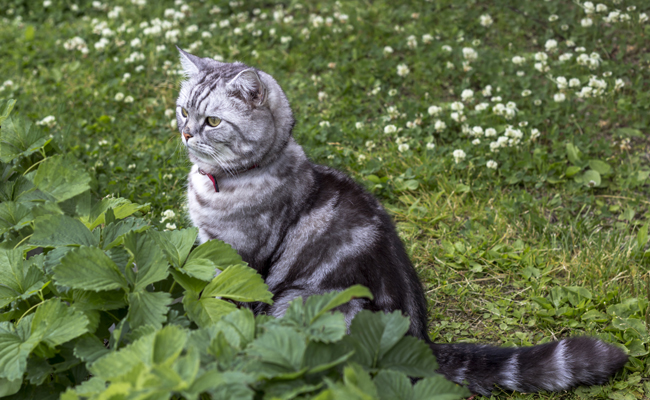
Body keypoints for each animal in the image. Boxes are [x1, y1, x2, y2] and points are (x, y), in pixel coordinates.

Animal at [175, 48, 624, 396]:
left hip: (305, 305)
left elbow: (228, 308)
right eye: (183, 111)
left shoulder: (239, 256)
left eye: (212, 121)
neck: (224, 181)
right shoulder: (205, 243)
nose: (185, 133)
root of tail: (421, 344)